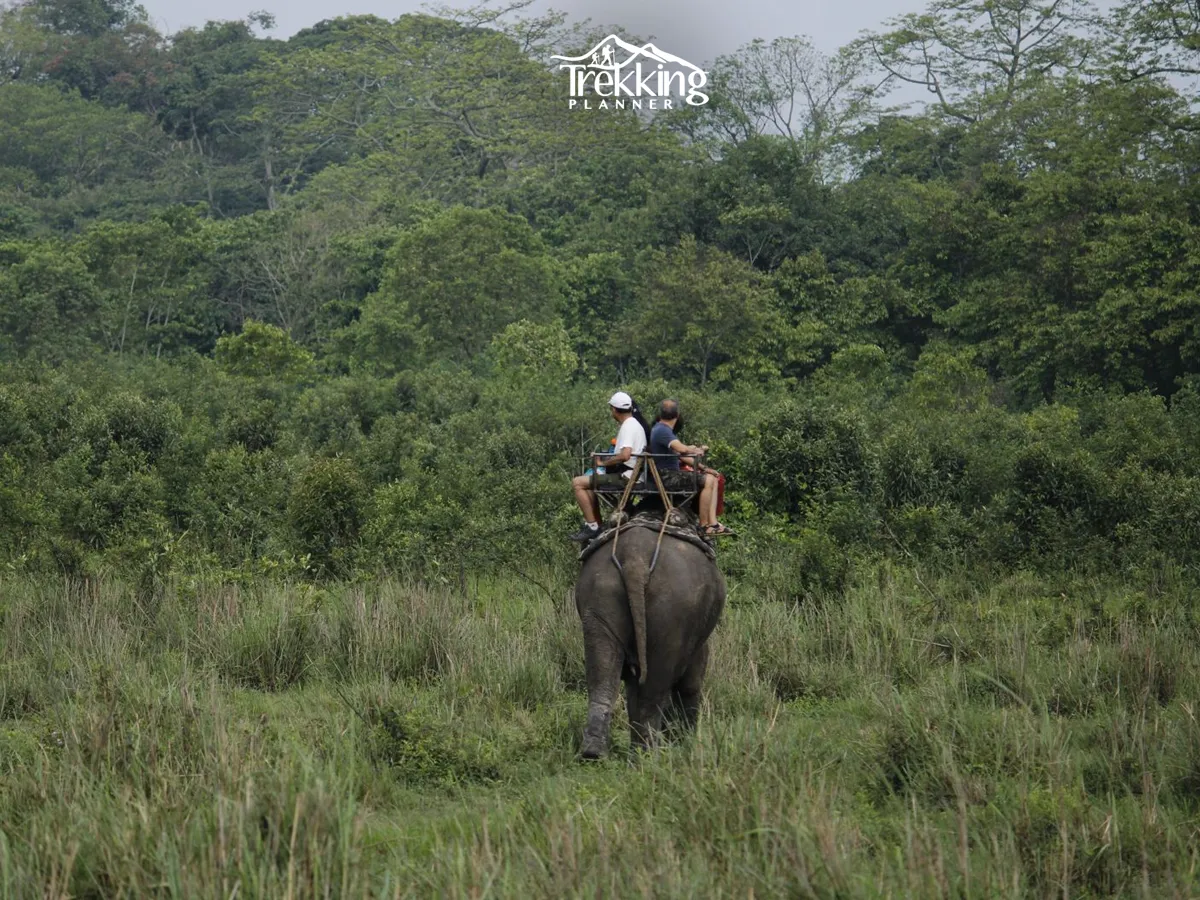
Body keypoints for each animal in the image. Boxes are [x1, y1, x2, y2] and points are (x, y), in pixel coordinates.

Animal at [574, 522, 726, 759]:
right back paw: (649, 755)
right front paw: (687, 743)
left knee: (602, 670)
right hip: (673, 608)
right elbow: (692, 680)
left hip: (598, 593)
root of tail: (635, 558)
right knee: (655, 684)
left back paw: (595, 752)